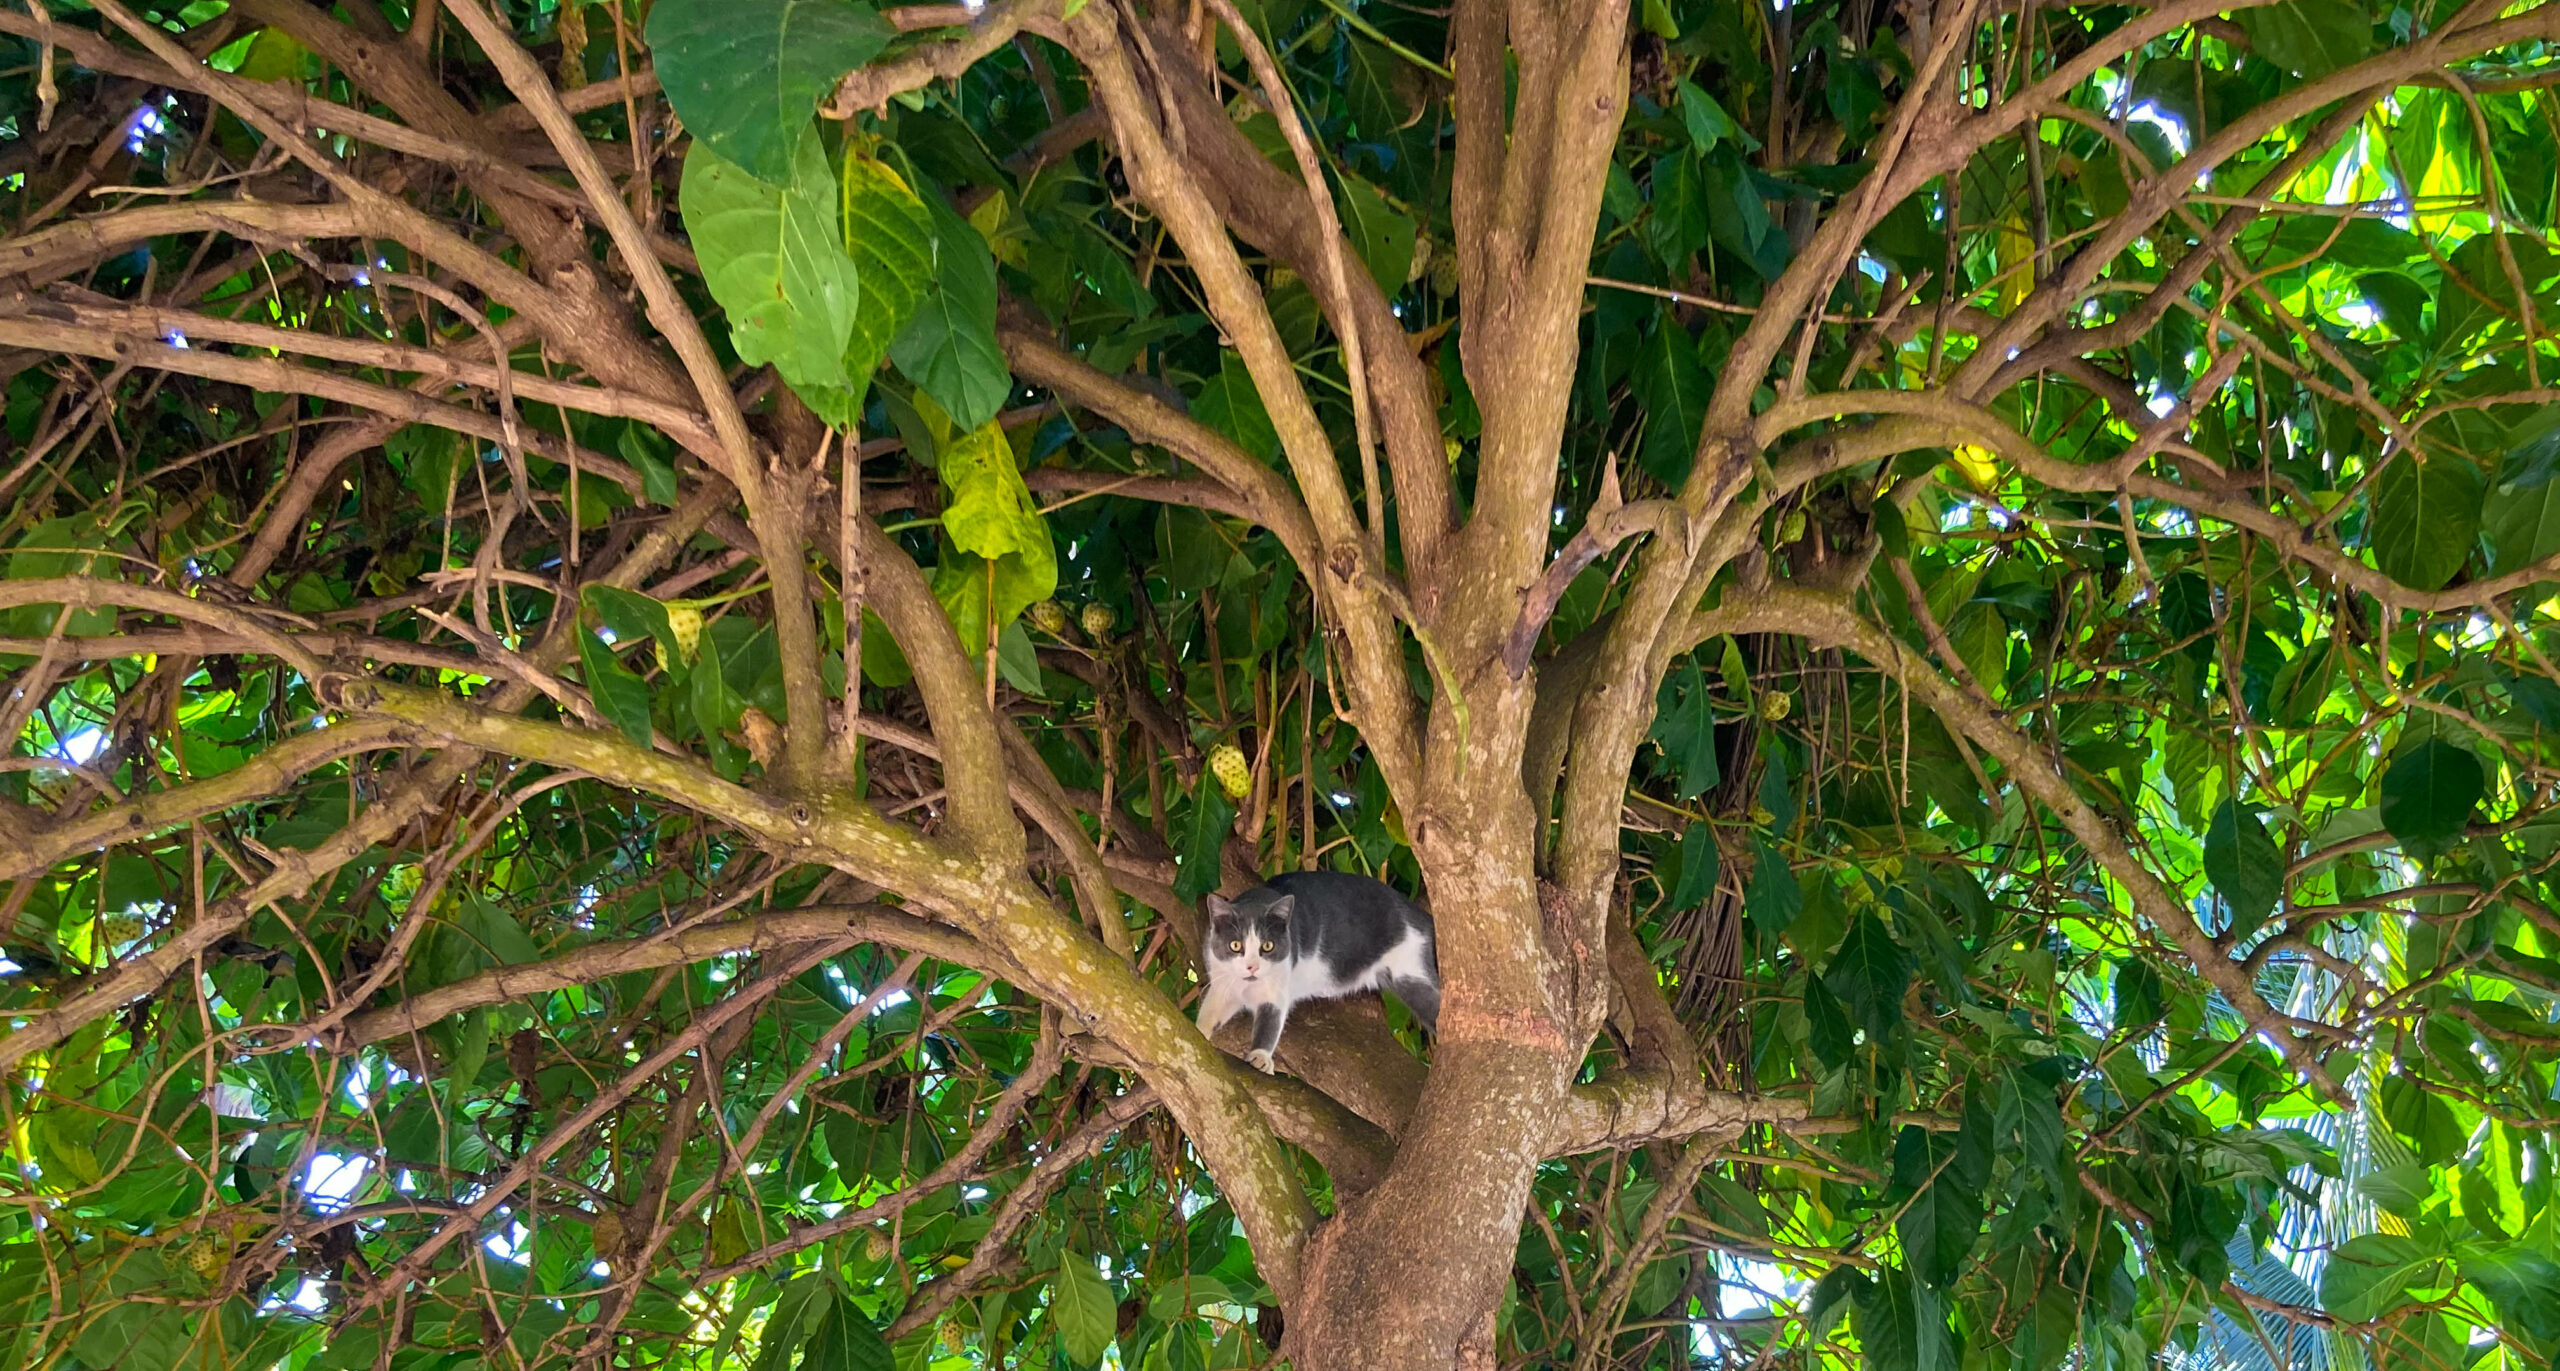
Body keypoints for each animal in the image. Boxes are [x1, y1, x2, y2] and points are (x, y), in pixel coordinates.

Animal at [1187, 874, 1433, 1074]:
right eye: (1235, 945)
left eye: (1268, 946)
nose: (1252, 967)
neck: (1246, 986)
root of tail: (1416, 912)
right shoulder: (1223, 985)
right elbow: (1211, 1012)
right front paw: (1199, 1032)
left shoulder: (1275, 991)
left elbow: (1270, 1022)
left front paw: (1260, 1056)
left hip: (1413, 975)